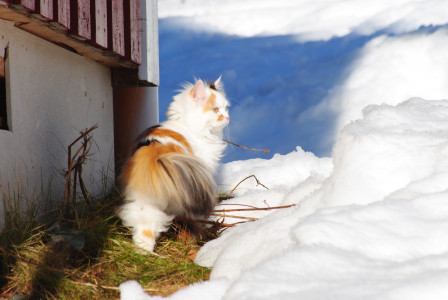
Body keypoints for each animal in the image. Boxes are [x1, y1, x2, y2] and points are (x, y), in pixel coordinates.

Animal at [117, 77, 229, 251]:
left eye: (225, 108)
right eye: (216, 110)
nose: (227, 117)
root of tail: (153, 156)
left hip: (143, 202)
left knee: (145, 227)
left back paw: (144, 251)